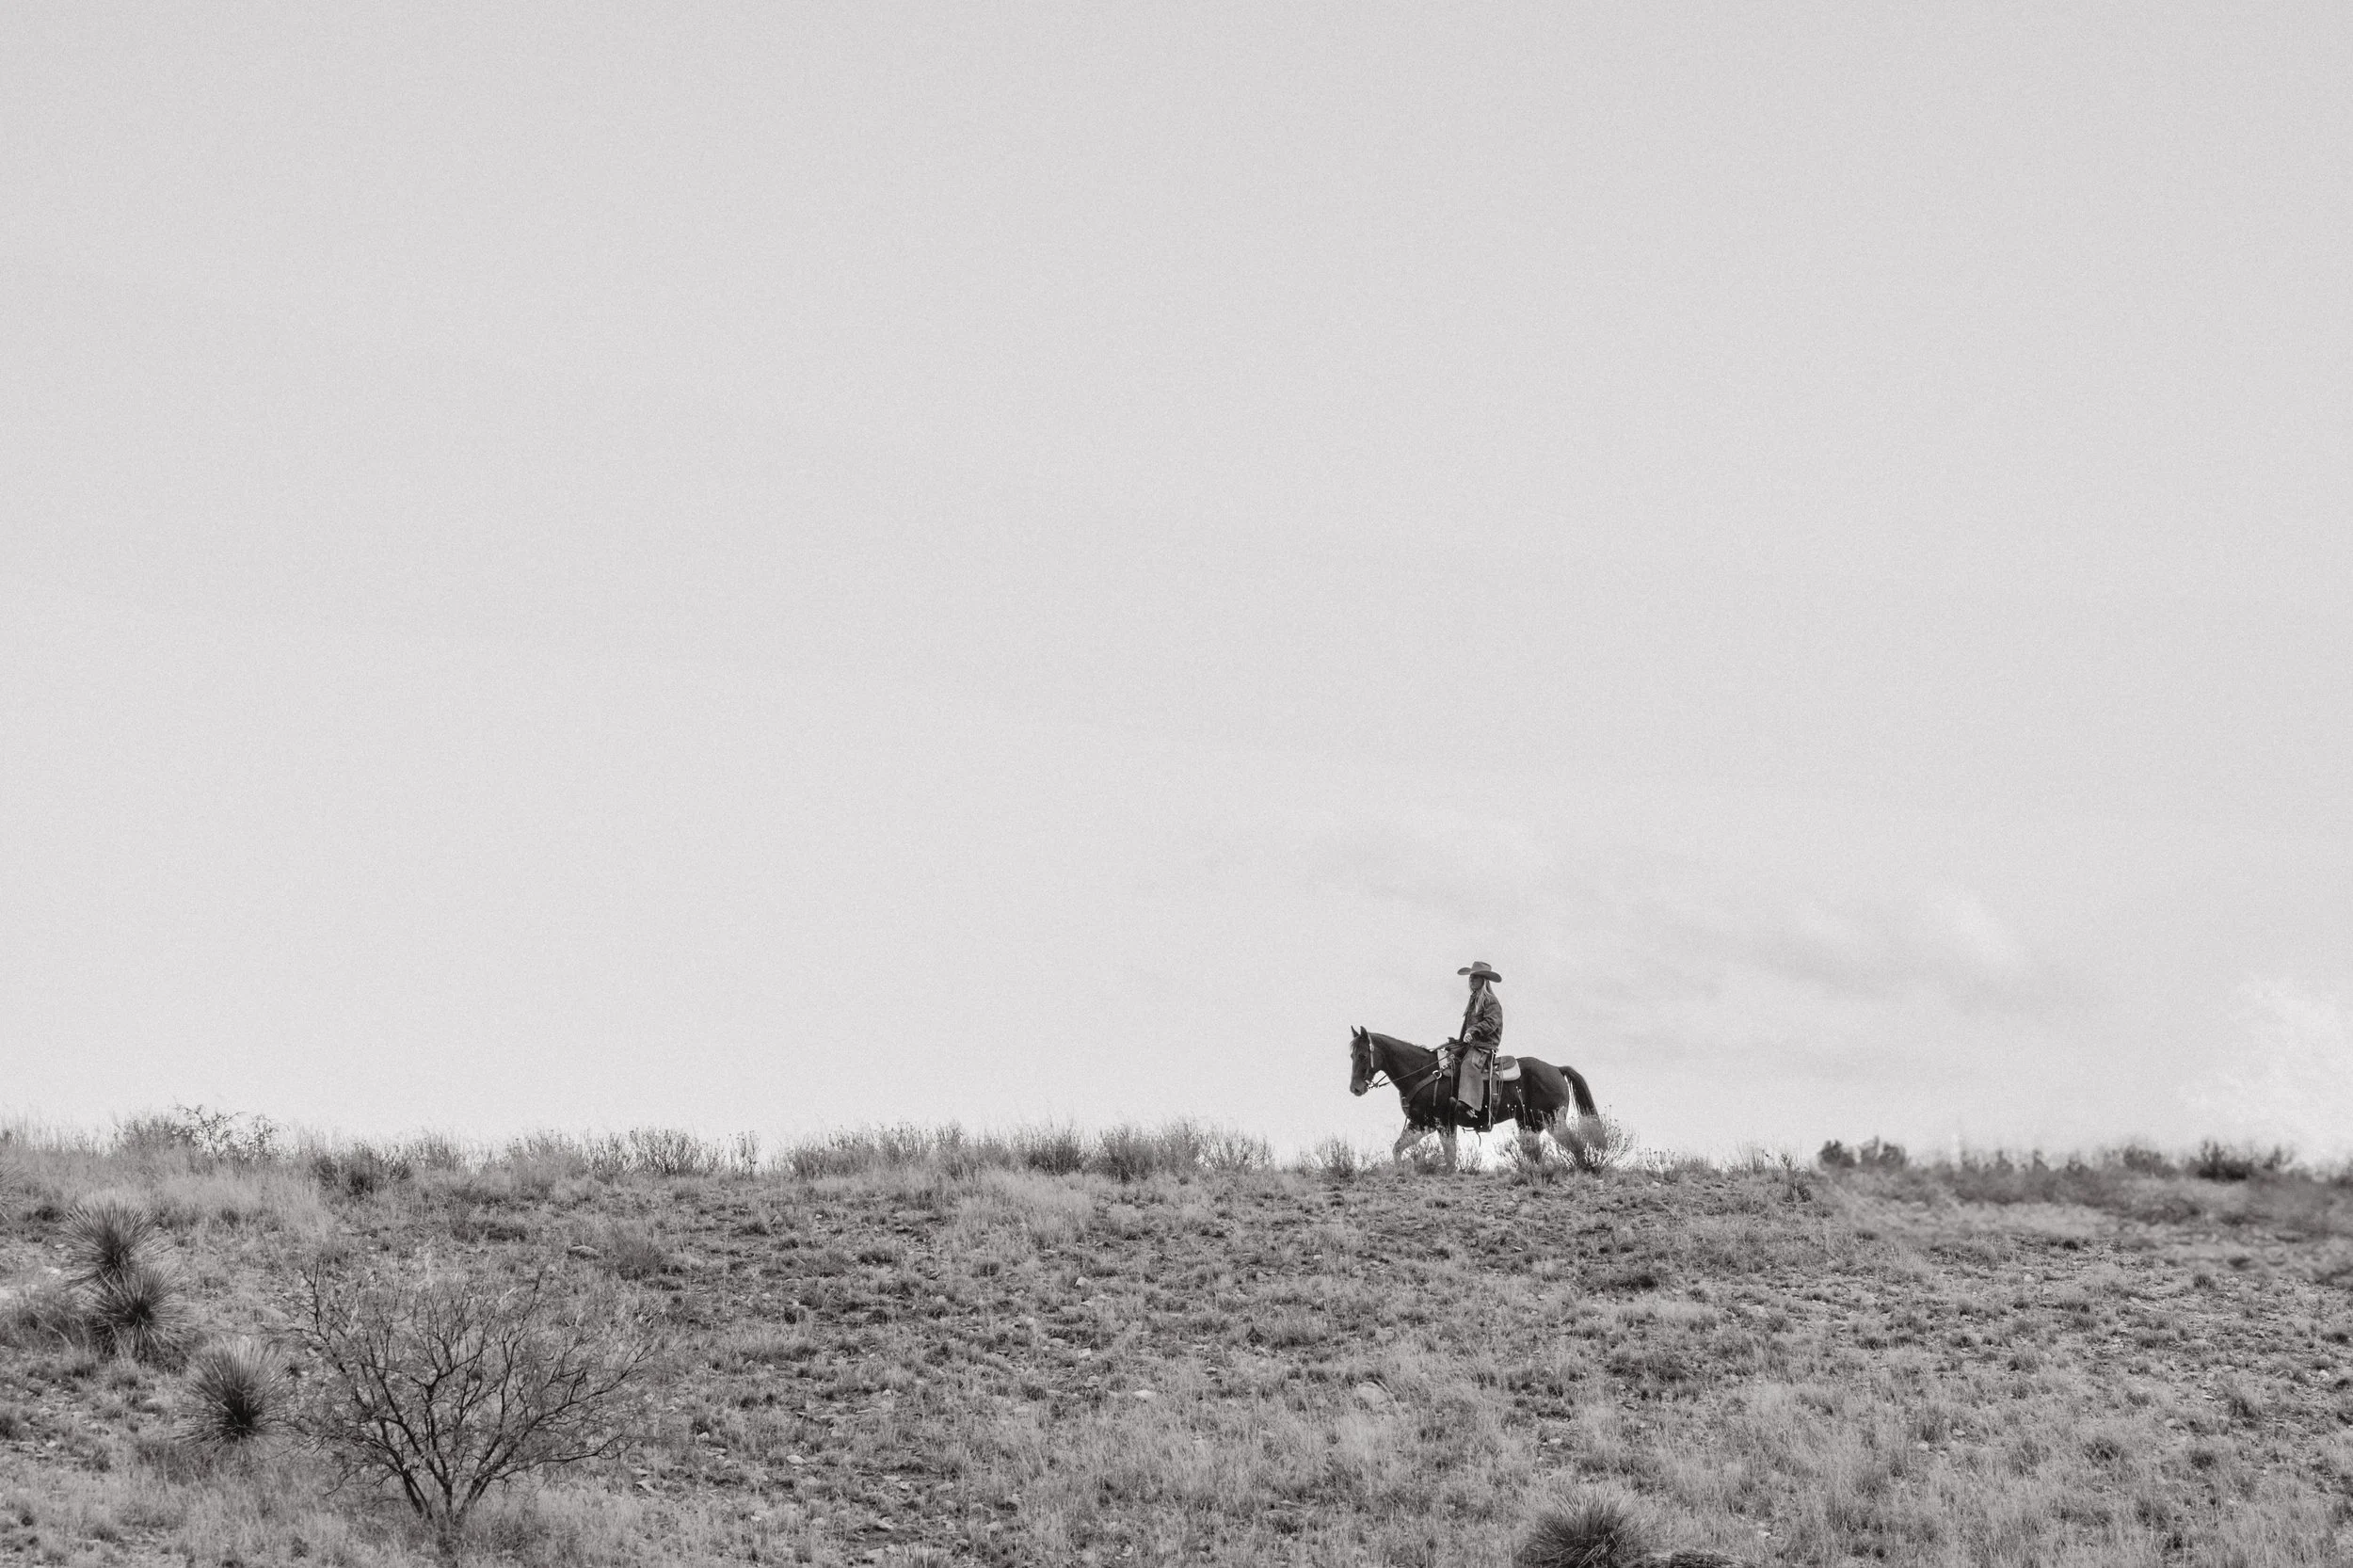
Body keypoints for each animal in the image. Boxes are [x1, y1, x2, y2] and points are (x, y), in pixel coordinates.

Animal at [1349, 1026, 1600, 1168]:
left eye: (1362, 1055)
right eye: (1352, 1055)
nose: (1355, 1089)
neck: (1422, 1071)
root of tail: (1556, 1069)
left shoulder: (1445, 1123)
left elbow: (1450, 1157)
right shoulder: (1421, 1123)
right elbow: (1398, 1148)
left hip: (1553, 1121)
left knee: (1577, 1146)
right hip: (1530, 1125)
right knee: (1537, 1155)